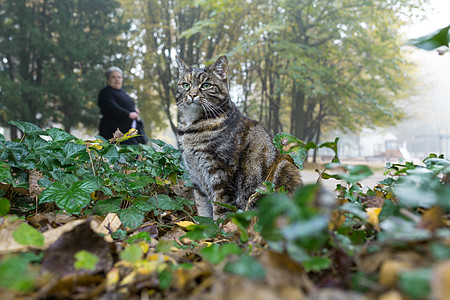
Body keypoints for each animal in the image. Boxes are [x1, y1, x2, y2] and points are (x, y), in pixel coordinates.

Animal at [176, 56, 302, 220]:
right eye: (186, 85)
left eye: (206, 85)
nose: (191, 94)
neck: (191, 129)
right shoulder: (196, 179)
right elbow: (203, 209)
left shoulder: (221, 175)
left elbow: (221, 210)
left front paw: (220, 226)